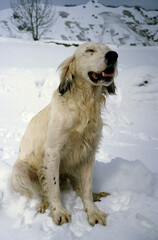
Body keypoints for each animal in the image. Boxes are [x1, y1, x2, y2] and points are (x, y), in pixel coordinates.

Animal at [11, 41, 118, 227]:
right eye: (89, 50)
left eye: (108, 49)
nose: (113, 55)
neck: (83, 104)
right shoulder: (53, 152)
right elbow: (53, 188)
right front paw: (58, 212)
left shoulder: (88, 153)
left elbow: (87, 187)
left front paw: (93, 212)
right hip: (20, 172)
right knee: (43, 190)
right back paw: (44, 204)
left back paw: (96, 195)